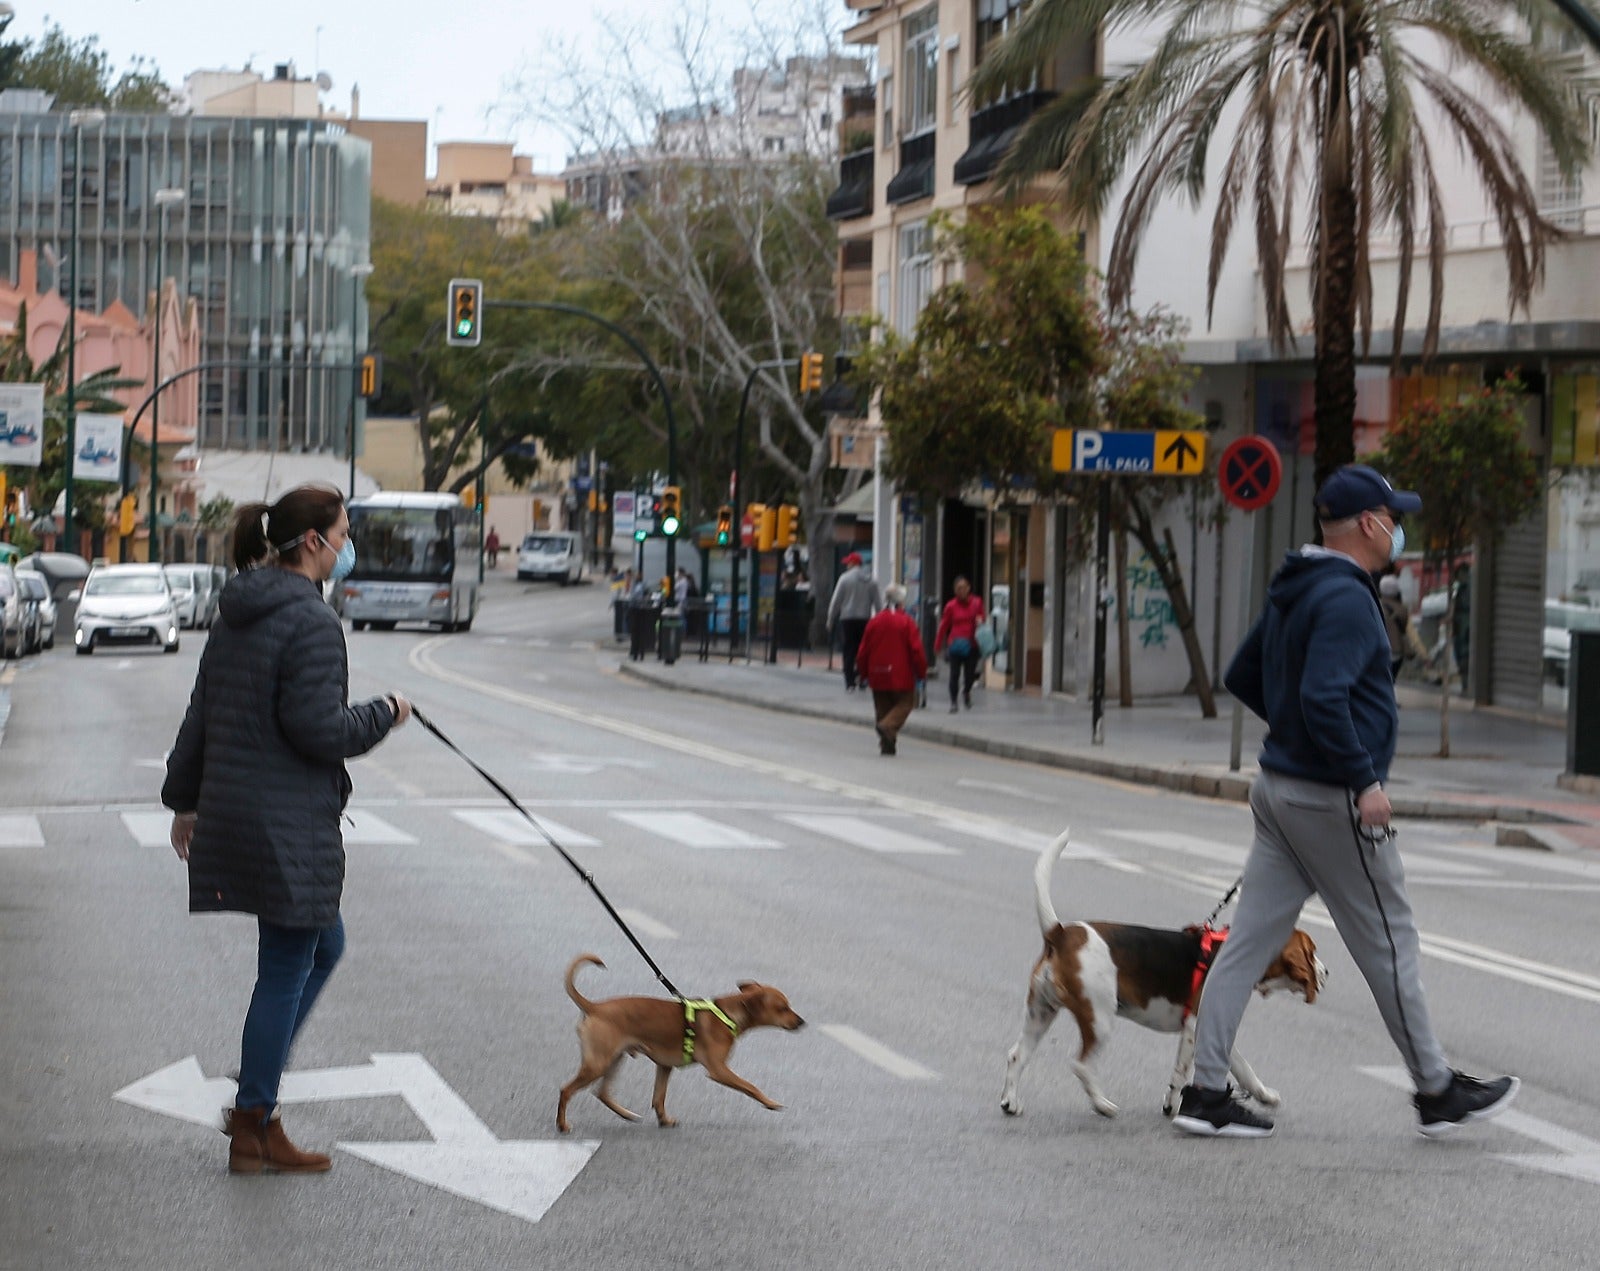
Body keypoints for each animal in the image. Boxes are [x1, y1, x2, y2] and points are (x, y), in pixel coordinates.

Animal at [556, 947, 806, 1126]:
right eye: (782, 1008)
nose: (802, 1022)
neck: (727, 1014)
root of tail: (595, 1007)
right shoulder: (719, 1070)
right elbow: (750, 1086)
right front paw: (770, 1103)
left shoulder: (665, 1067)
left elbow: (659, 1098)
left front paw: (664, 1120)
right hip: (598, 1062)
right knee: (566, 1090)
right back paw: (563, 1125)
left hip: (613, 1058)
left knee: (601, 1092)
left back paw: (626, 1114)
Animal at [998, 832, 1324, 1120]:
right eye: (1313, 951)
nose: (1327, 971)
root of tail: (1062, 933)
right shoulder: (1194, 1027)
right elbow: (1180, 1075)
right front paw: (1175, 1107)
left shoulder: (1213, 1028)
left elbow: (1245, 1070)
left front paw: (1265, 1096)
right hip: (1099, 1019)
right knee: (1080, 1065)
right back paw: (1103, 1105)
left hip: (1041, 1012)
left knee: (1016, 1055)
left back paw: (1011, 1102)